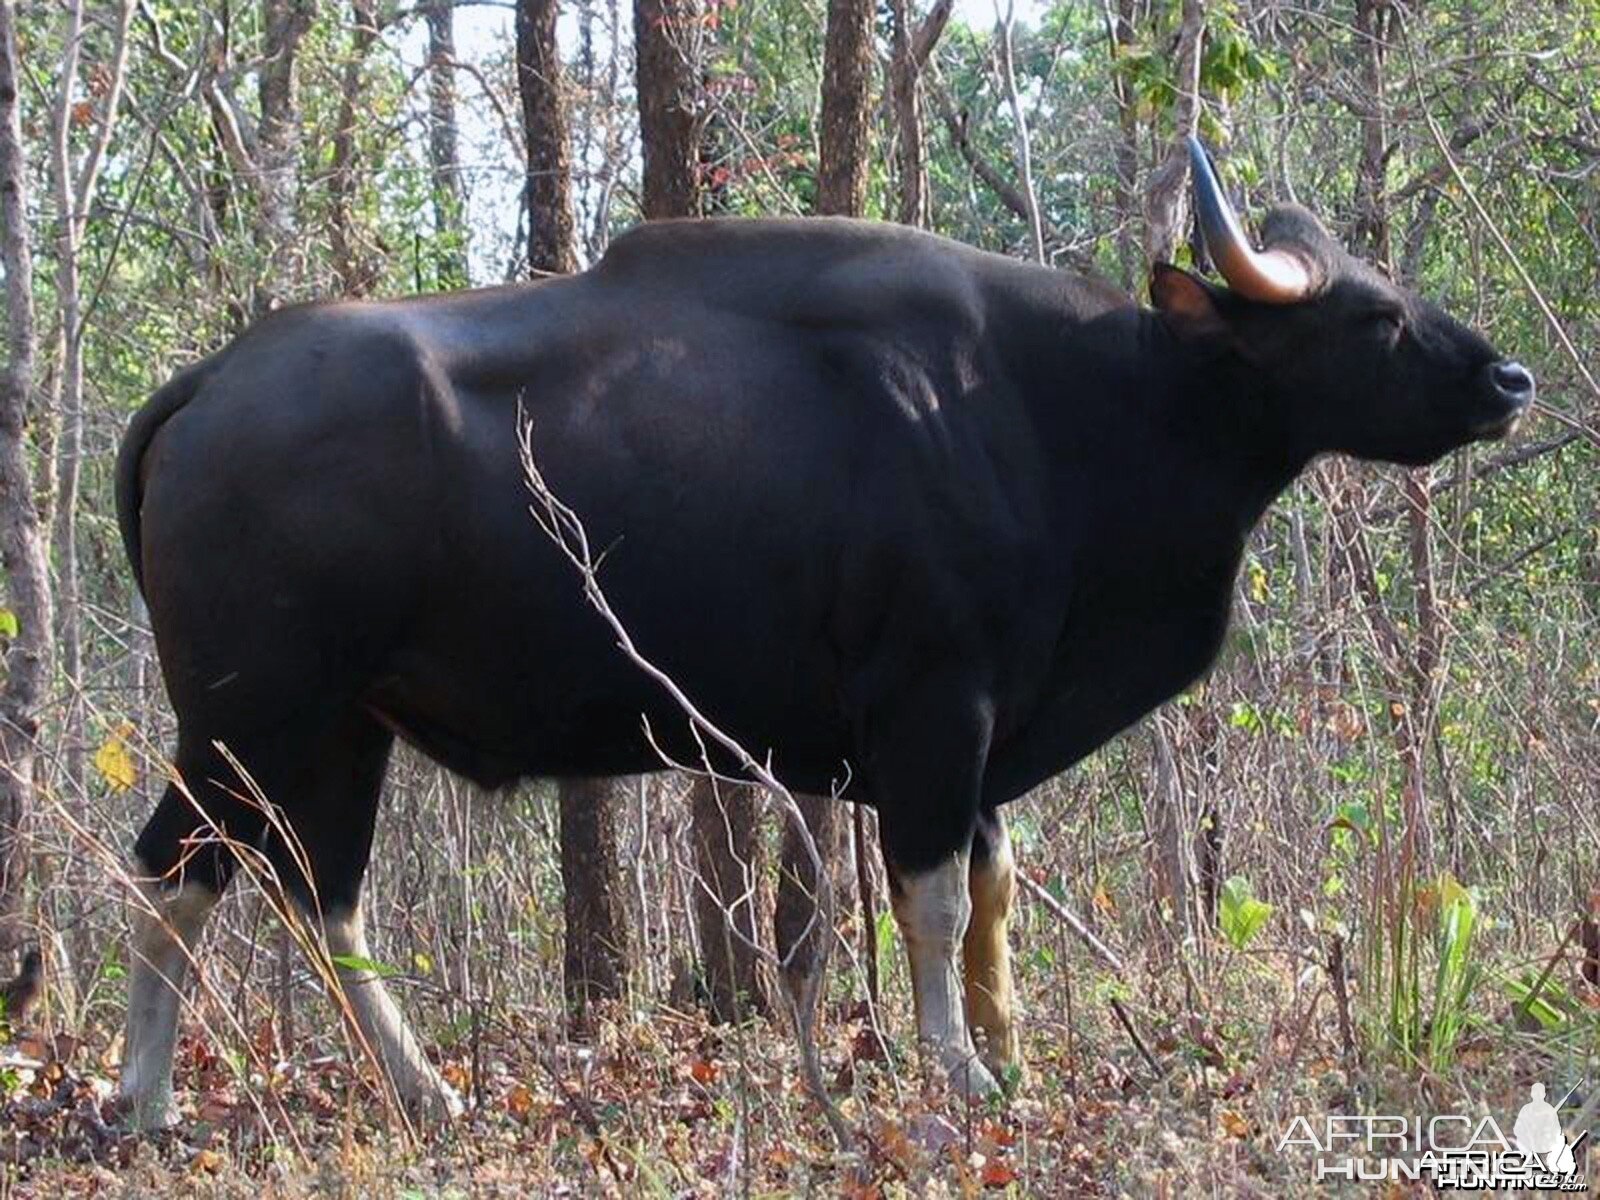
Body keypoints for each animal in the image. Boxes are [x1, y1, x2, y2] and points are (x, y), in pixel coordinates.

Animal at [116, 167, 1536, 1120]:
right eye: (1370, 319)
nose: (1508, 380)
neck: (1067, 410)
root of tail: (213, 383)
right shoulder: (934, 711)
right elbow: (933, 896)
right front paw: (956, 1069)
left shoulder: (981, 729)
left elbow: (992, 889)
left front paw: (1005, 1048)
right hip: (249, 718)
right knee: (177, 874)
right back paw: (146, 1097)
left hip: (339, 730)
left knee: (316, 894)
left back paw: (416, 1090)